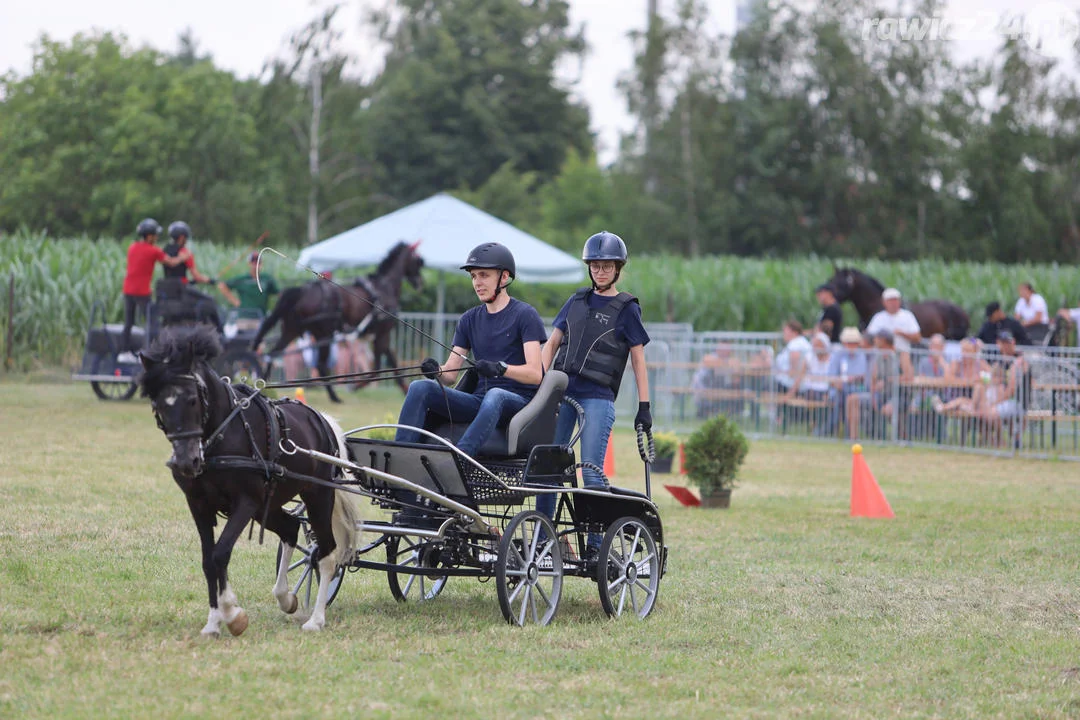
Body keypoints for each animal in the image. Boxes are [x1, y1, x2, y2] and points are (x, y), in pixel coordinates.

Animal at [137, 323, 358, 634]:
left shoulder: (245, 502)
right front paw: (213, 622)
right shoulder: (199, 505)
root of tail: (320, 418)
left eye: (192, 399)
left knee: (326, 553)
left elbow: (220, 554)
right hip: (270, 502)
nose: (186, 462)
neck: (221, 437)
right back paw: (285, 598)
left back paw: (316, 619)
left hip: (318, 496)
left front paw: (232, 614)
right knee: (291, 528)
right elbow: (208, 560)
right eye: (157, 404)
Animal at [250, 240, 423, 399]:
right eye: (418, 261)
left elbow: (392, 362)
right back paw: (333, 396)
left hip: (293, 329)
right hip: (323, 333)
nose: (419, 282)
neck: (383, 287)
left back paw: (263, 386)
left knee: (274, 352)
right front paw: (356, 386)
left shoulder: (378, 336)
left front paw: (405, 389)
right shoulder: (382, 334)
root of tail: (303, 290)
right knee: (320, 364)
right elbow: (378, 369)